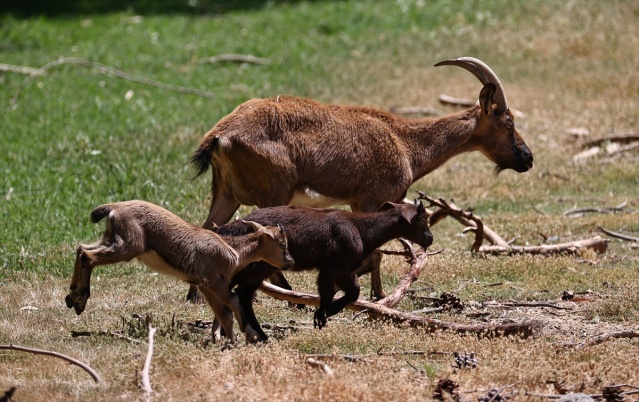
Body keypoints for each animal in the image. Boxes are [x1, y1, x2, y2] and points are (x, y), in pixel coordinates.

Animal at [190, 56, 536, 302]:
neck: (405, 142)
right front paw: (377, 295)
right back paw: (287, 294)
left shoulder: (360, 202)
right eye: (507, 122)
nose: (527, 158)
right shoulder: (374, 197)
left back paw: (196, 295)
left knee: (208, 228)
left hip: (226, 192)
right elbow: (377, 249)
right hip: (274, 192)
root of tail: (221, 134)